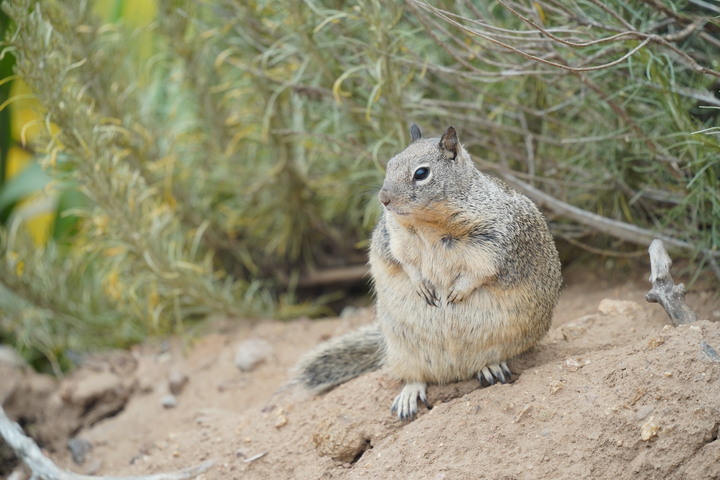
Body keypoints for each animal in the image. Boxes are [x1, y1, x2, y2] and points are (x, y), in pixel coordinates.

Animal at [294, 124, 564, 420]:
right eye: (390, 164)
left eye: (421, 173)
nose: (383, 199)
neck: (428, 221)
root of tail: (455, 371)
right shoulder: (397, 239)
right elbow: (405, 261)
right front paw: (421, 285)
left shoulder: (494, 240)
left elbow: (482, 269)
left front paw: (457, 292)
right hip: (404, 351)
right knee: (416, 376)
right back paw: (408, 396)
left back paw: (490, 367)